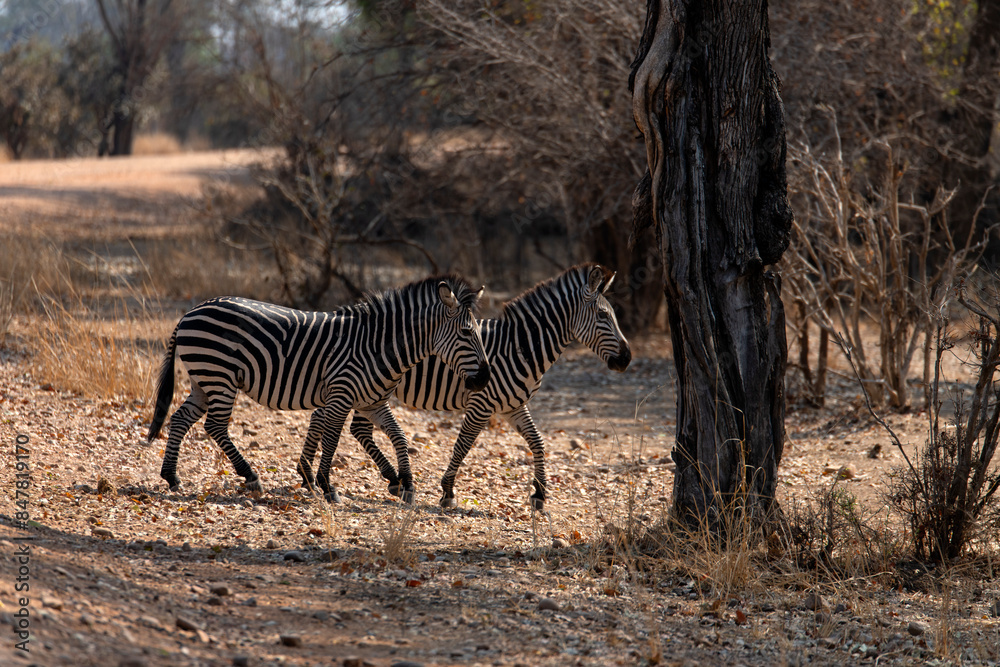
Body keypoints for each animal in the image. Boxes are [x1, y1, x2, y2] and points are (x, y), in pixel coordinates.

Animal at [146, 276, 491, 502]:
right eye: (466, 333)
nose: (484, 380)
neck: (377, 346)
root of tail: (191, 311)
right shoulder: (341, 395)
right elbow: (333, 440)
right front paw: (327, 486)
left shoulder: (373, 402)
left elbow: (399, 435)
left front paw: (405, 482)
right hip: (219, 375)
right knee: (215, 426)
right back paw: (250, 476)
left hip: (203, 379)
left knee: (180, 419)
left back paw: (171, 476)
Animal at [296, 264, 631, 511]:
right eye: (604, 315)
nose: (627, 359)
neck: (519, 347)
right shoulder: (482, 403)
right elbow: (463, 445)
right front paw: (448, 492)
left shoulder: (514, 406)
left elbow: (538, 442)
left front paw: (539, 495)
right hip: (364, 387)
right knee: (337, 422)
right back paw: (324, 475)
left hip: (366, 390)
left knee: (343, 424)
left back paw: (315, 473)